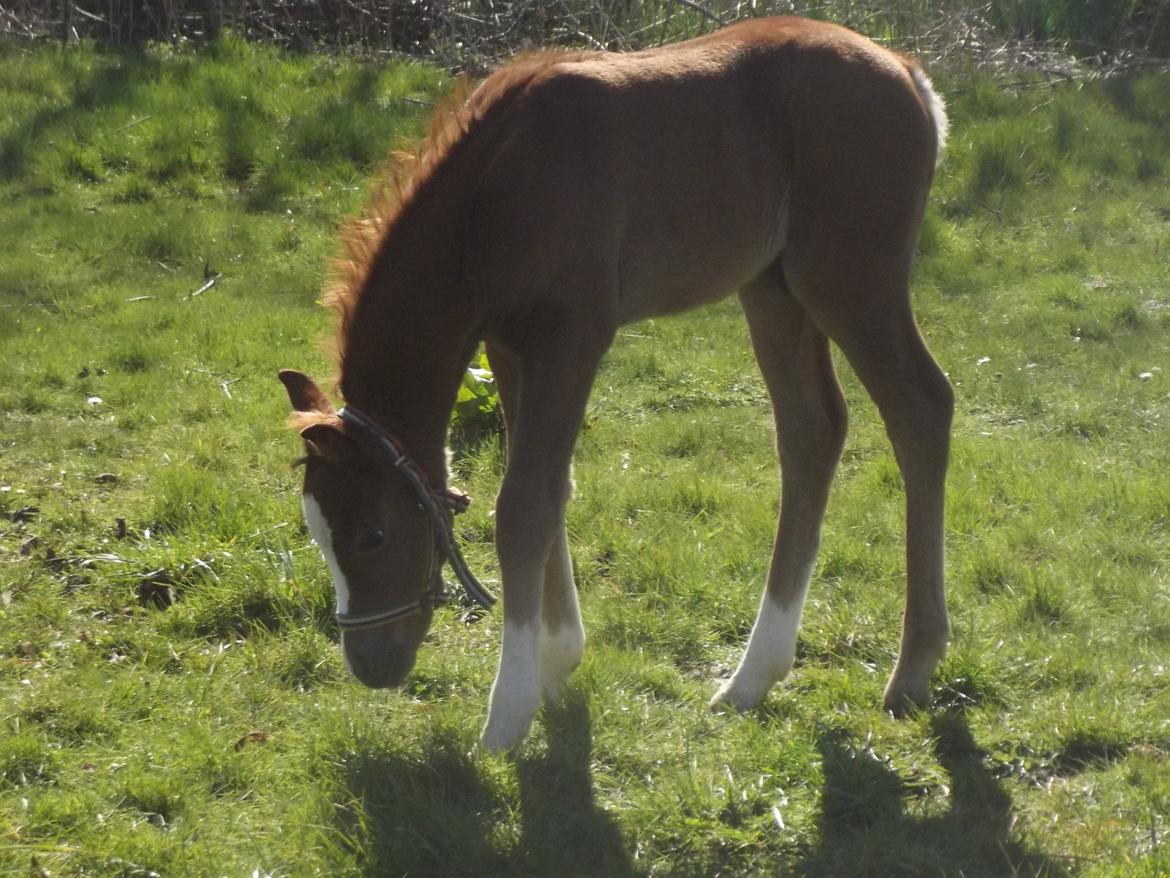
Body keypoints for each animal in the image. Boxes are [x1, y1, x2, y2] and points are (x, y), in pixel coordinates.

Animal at [279, 15, 953, 753]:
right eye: (317, 532)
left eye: (372, 535)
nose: (371, 665)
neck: (491, 191)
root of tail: (907, 72)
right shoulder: (510, 344)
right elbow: (548, 487)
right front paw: (556, 661)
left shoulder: (572, 334)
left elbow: (524, 507)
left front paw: (507, 714)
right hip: (772, 288)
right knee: (813, 431)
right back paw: (752, 679)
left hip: (849, 281)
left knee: (922, 410)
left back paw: (912, 671)